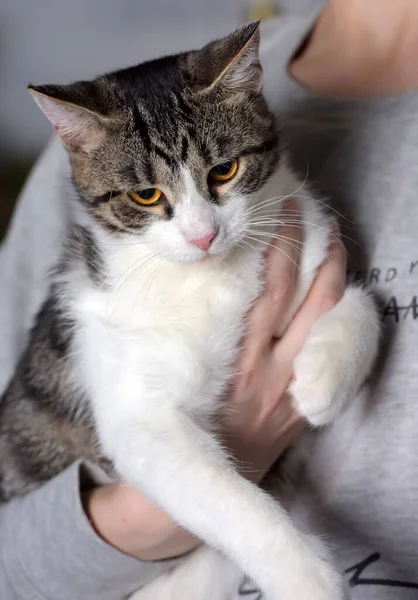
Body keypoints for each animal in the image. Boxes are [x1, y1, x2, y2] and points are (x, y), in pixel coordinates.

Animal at [0, 21, 378, 600]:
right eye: (146, 195)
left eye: (225, 170)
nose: (204, 236)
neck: (211, 276)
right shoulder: (140, 416)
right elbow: (233, 504)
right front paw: (309, 579)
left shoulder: (309, 238)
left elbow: (365, 301)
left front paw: (321, 382)